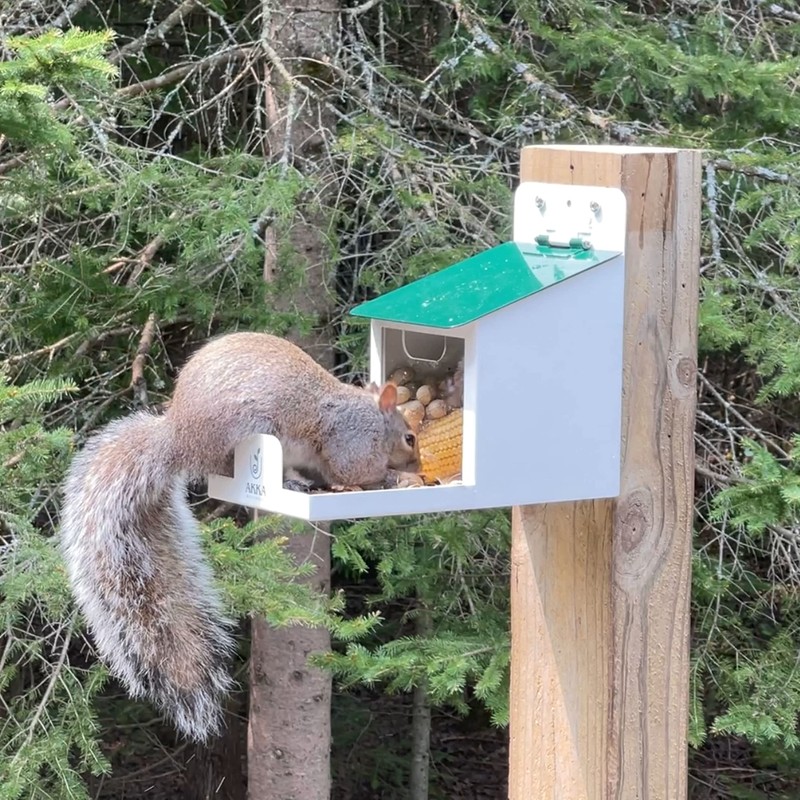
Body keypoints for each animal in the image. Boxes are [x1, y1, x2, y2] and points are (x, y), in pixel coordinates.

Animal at [59, 331, 419, 741]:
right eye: (410, 437)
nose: (419, 464)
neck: (370, 415)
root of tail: (180, 439)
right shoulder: (349, 438)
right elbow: (353, 469)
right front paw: (389, 477)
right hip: (248, 437)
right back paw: (291, 481)